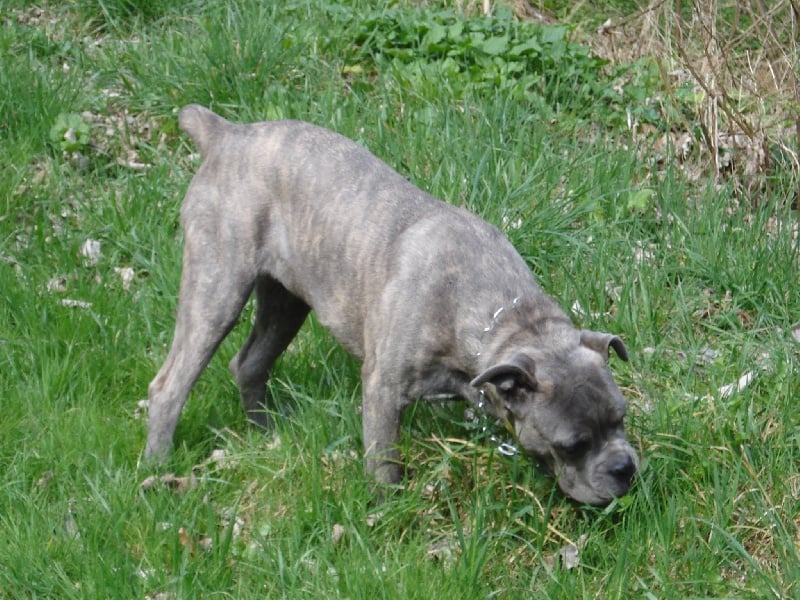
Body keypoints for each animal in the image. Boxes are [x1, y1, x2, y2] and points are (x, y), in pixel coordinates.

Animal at [147, 104, 636, 506]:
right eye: (572, 445)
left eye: (621, 418)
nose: (625, 468)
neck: (506, 316)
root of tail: (227, 134)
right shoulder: (382, 390)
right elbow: (383, 462)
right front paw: (386, 511)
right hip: (216, 292)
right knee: (170, 386)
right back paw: (157, 469)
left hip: (285, 304)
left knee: (249, 363)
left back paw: (264, 434)